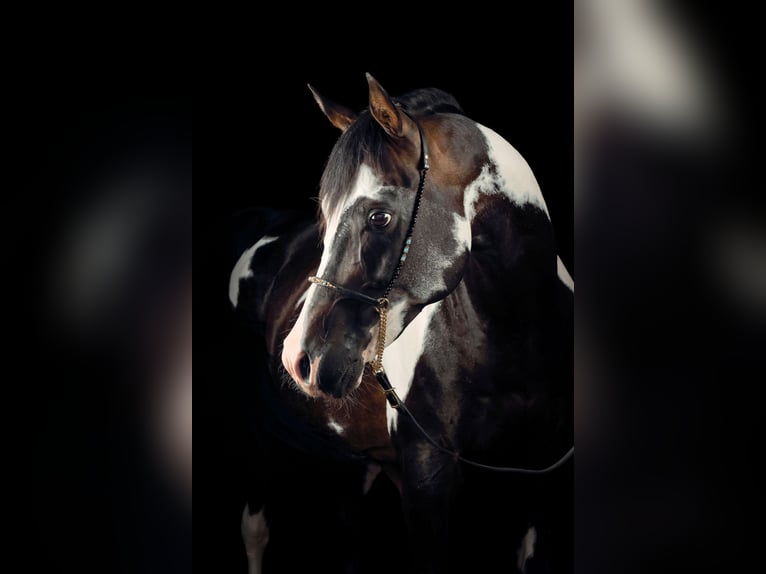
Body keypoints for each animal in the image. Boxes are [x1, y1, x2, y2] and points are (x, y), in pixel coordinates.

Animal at [231, 75, 573, 573]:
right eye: (324, 217)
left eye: (379, 216)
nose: (298, 359)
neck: (516, 340)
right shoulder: (427, 479)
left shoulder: (540, 485)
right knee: (256, 531)